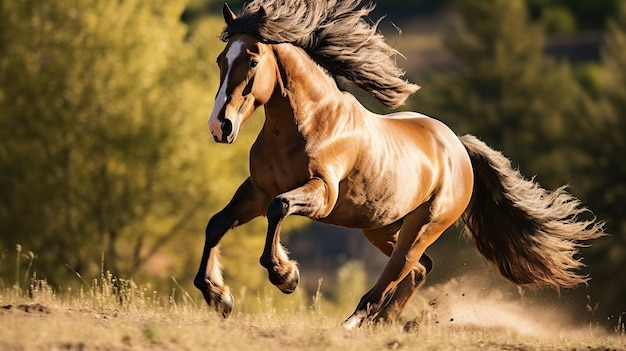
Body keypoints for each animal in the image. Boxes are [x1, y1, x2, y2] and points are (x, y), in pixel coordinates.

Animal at [193, 0, 604, 330]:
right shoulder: (257, 191)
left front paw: (285, 275)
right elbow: (216, 224)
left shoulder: (320, 194)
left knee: (395, 274)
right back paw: (384, 324)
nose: (219, 126)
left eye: (252, 60)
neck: (304, 124)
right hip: (380, 225)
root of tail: (458, 147)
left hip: (421, 227)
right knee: (419, 269)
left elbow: (279, 210)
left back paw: (355, 324)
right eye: (220, 60)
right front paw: (218, 296)